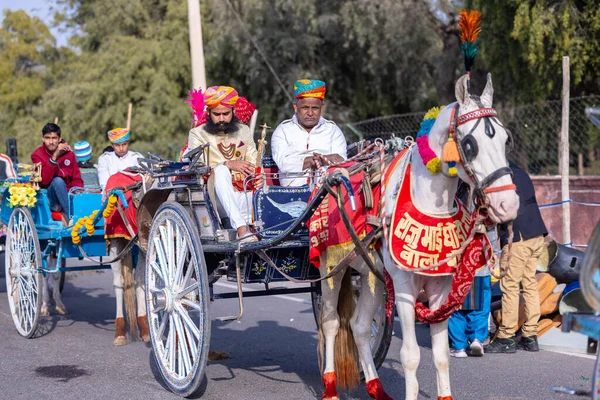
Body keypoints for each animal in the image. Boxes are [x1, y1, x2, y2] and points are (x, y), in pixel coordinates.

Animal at [318, 73, 520, 398]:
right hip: (332, 266)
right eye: (469, 144)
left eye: (506, 140)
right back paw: (330, 386)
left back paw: (376, 387)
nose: (508, 205)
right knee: (331, 323)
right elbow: (410, 355)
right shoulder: (403, 289)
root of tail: (332, 173)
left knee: (359, 328)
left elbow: (440, 356)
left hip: (372, 276)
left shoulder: (439, 290)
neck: (428, 204)